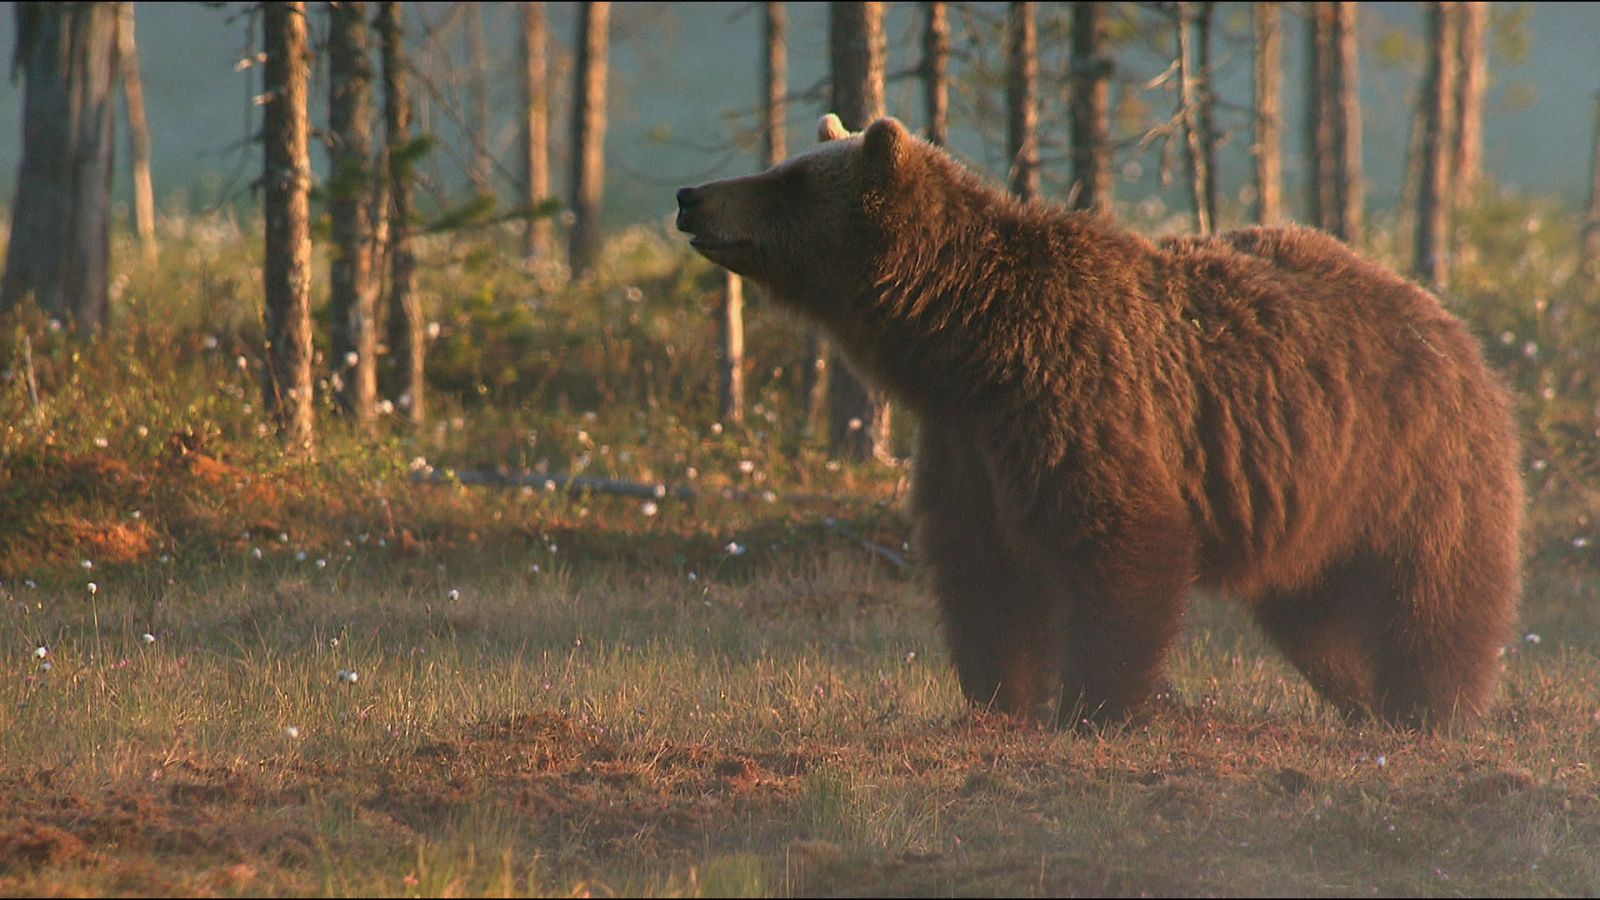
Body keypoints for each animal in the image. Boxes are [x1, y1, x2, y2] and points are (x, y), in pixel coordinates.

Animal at [678, 113, 1523, 730]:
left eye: (787, 179)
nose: (692, 195)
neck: (962, 346)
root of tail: (1458, 329)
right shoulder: (967, 444)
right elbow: (982, 570)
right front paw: (1000, 701)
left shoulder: (1075, 400)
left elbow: (1122, 540)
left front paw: (1095, 707)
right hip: (1315, 504)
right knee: (1315, 614)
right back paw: (1359, 697)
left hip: (1412, 466)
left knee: (1431, 593)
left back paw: (1427, 707)